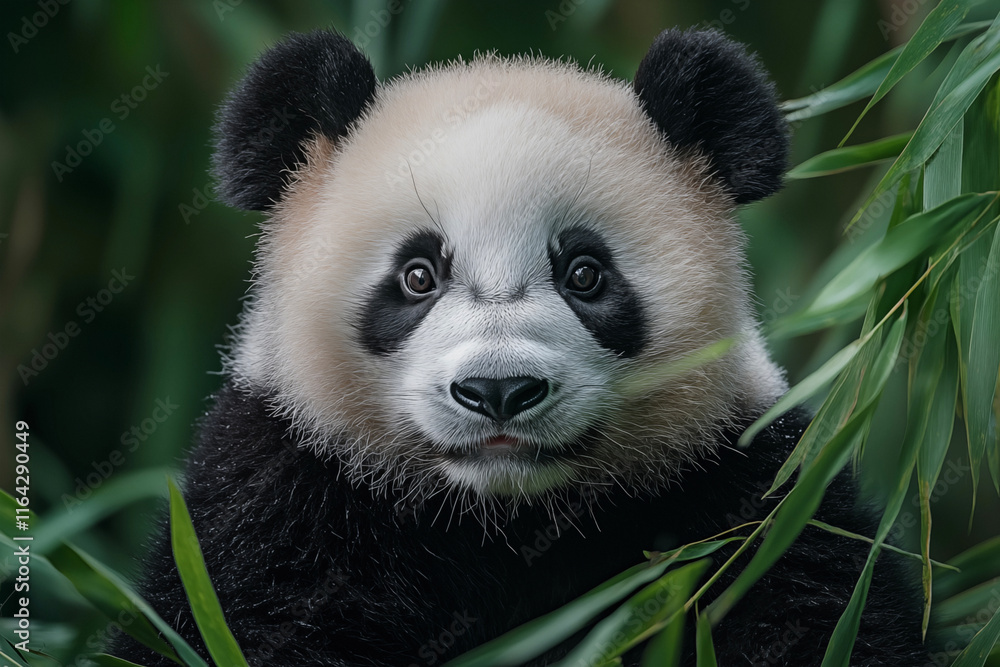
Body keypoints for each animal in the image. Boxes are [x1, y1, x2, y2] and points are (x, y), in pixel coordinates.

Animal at [113, 28, 928, 666]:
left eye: (585, 273)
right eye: (417, 275)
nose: (499, 390)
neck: (501, 518)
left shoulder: (745, 485)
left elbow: (817, 609)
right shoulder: (281, 492)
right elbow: (246, 618)